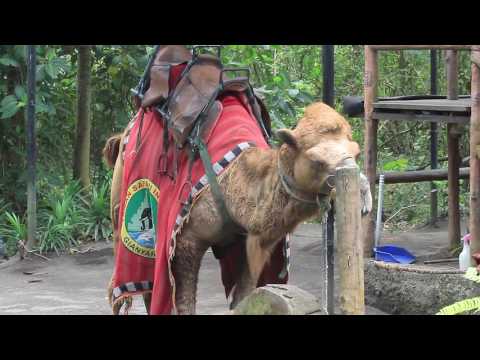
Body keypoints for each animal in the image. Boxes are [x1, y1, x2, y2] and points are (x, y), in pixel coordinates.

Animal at [103, 102, 374, 316]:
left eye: (356, 152)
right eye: (316, 160)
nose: (363, 193)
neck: (233, 181)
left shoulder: (249, 239)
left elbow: (244, 293)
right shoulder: (185, 239)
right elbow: (183, 300)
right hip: (122, 208)